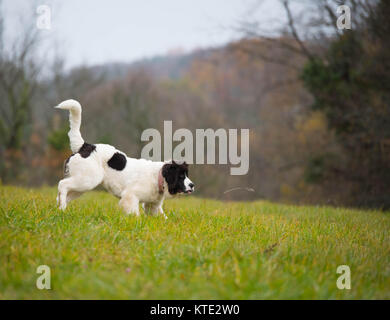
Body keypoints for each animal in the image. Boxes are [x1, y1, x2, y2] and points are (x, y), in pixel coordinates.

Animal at [54, 99, 195, 218]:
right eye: (181, 176)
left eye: (186, 175)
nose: (192, 185)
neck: (158, 177)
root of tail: (86, 146)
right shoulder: (130, 196)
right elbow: (134, 213)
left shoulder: (152, 205)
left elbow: (161, 217)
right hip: (87, 179)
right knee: (62, 184)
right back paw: (62, 209)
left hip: (81, 185)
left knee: (63, 193)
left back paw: (60, 208)